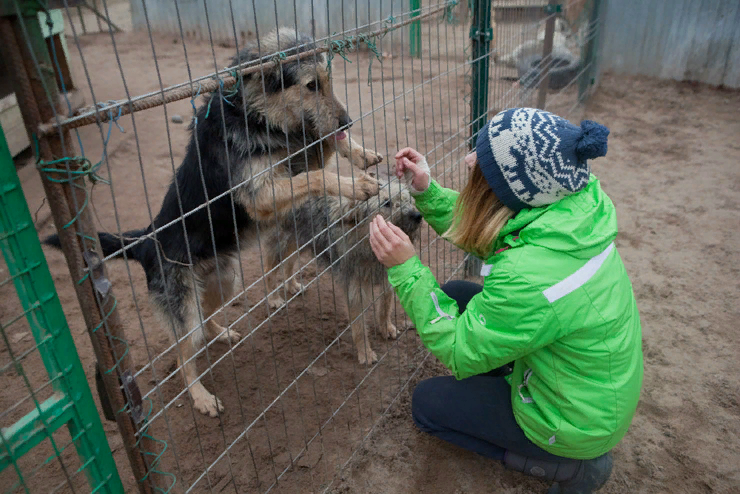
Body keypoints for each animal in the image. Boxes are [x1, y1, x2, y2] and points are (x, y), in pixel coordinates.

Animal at [44, 28, 384, 416]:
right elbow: (316, 177)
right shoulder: (261, 195)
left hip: (224, 281)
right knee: (182, 357)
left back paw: (221, 333)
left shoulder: (298, 154)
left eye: (330, 81)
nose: (347, 123)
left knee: (206, 323)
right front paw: (356, 185)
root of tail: (147, 240)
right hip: (184, 310)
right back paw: (200, 397)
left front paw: (360, 153)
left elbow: (323, 145)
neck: (254, 117)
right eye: (312, 85)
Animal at [264, 179, 422, 364]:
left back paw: (292, 286)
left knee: (290, 263)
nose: (417, 216)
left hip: (299, 240)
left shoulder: (387, 280)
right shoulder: (355, 291)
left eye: (406, 199)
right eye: (387, 203)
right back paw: (273, 298)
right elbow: (359, 327)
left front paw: (387, 328)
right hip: (281, 243)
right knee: (269, 271)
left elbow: (385, 308)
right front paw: (365, 353)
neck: (366, 245)